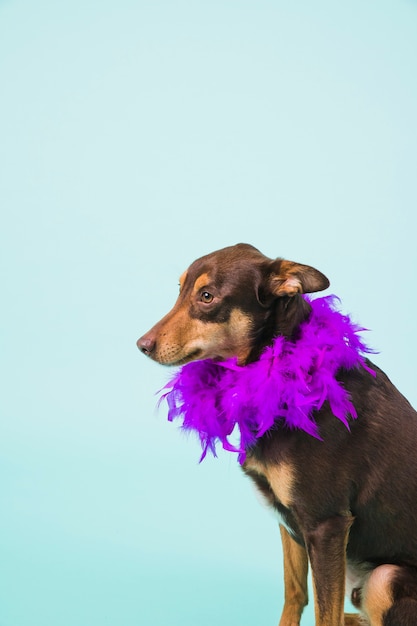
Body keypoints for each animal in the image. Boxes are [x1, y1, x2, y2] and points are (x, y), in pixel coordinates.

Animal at [136, 243, 416, 624]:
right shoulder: (289, 521)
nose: (142, 344)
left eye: (207, 297)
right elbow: (295, 592)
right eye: (179, 290)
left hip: (384, 578)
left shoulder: (325, 525)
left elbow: (324, 614)